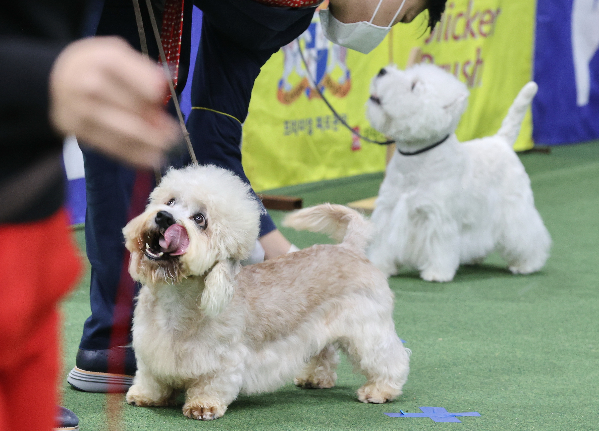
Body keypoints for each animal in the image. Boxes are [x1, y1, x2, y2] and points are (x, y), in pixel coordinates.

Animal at [123, 165, 410, 422]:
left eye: (200, 219)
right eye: (170, 201)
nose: (163, 217)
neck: (176, 297)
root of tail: (350, 247)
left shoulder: (222, 361)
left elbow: (210, 385)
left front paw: (202, 406)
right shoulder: (149, 349)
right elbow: (150, 378)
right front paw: (145, 395)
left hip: (368, 328)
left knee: (389, 358)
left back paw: (380, 390)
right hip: (322, 327)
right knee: (326, 352)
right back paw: (315, 378)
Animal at [364, 62, 552, 282]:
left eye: (414, 85)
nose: (382, 71)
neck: (414, 158)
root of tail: (501, 141)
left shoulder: (436, 215)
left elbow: (438, 245)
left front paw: (436, 273)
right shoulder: (388, 208)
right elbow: (382, 242)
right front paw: (379, 266)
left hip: (514, 207)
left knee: (527, 235)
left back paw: (526, 264)